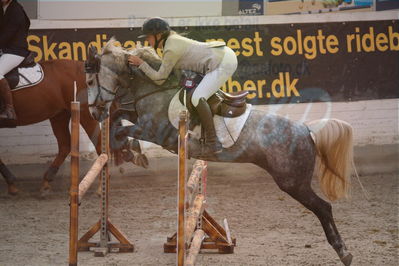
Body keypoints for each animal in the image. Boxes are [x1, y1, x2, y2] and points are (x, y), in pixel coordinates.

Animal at [86, 40, 354, 266]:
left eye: (89, 82)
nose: (94, 112)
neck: (154, 88)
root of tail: (307, 130)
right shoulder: (139, 119)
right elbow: (120, 117)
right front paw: (124, 149)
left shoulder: (155, 132)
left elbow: (121, 131)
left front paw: (130, 152)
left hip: (292, 182)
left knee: (324, 208)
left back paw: (343, 252)